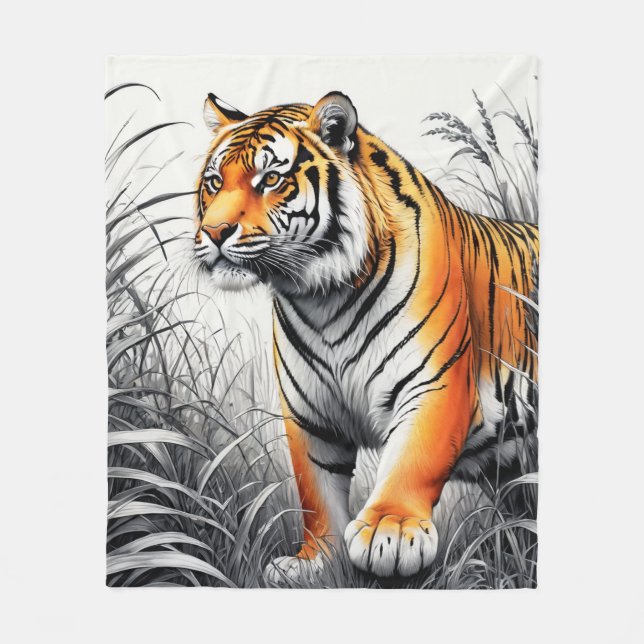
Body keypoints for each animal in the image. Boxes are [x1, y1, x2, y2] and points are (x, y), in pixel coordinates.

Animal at [194, 91, 538, 581]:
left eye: (272, 179)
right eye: (214, 182)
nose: (214, 232)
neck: (324, 300)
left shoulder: (435, 384)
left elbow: (412, 461)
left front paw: (389, 533)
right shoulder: (310, 414)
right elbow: (316, 491)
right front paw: (316, 562)